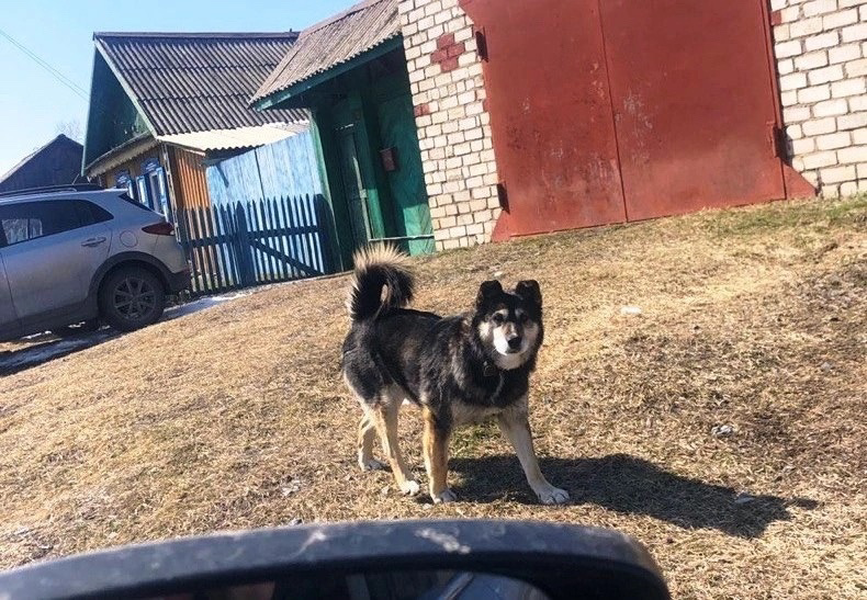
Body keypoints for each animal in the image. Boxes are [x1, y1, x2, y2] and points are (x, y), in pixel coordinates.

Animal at [342, 246, 572, 504]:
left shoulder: (514, 418)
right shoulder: (437, 419)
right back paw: (406, 482)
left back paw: (366, 460)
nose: (514, 340)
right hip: (386, 403)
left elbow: (531, 462)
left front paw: (546, 490)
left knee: (365, 423)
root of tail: (364, 317)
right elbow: (438, 460)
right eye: (498, 318)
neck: (484, 362)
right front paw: (440, 492)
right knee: (390, 447)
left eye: (524, 318)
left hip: (392, 398)